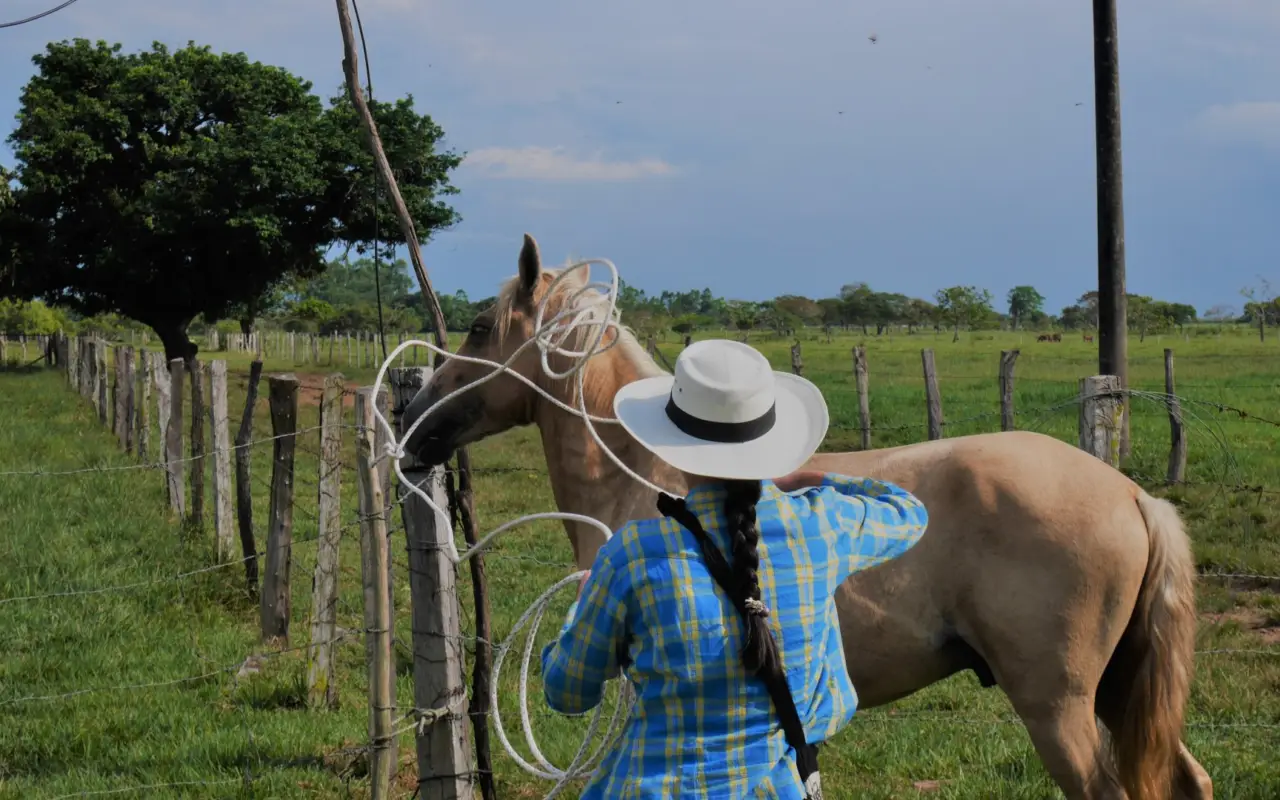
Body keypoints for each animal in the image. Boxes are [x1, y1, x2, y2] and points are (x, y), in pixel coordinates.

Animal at [402, 234, 1212, 799]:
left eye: (479, 328)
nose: (411, 425)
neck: (650, 471)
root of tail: (1131, 494)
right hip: (1118, 693)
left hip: (1061, 708)